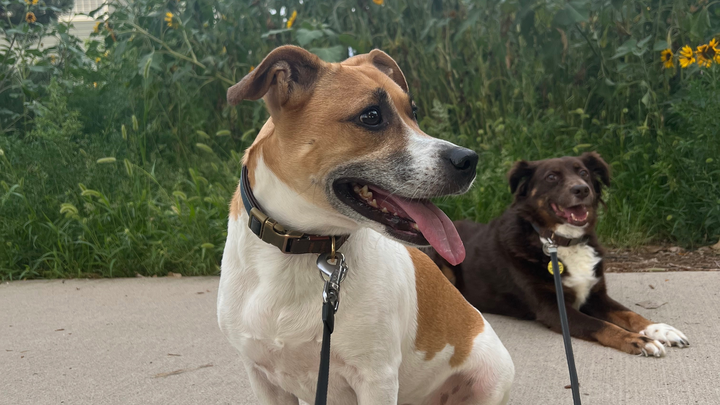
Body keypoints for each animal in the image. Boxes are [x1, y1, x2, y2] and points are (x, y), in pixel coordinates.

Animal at [217, 45, 514, 404]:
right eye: (371, 116)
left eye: (413, 112)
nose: (469, 160)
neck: (302, 249)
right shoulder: (262, 377)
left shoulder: (377, 378)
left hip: (489, 380)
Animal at [426, 153, 689, 357]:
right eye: (551, 177)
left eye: (583, 172)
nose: (581, 189)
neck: (559, 241)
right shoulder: (553, 309)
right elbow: (602, 325)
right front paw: (637, 340)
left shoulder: (596, 295)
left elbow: (630, 314)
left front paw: (660, 329)